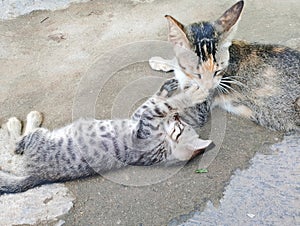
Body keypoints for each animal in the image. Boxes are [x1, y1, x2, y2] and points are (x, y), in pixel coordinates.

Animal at [0, 78, 211, 193]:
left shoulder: (145, 125)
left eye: (180, 125)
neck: (165, 146)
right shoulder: (139, 118)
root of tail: (36, 176)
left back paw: (19, 123)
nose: (176, 117)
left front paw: (191, 95)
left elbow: (163, 105)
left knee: (15, 146)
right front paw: (169, 87)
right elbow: (155, 101)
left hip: (38, 138)